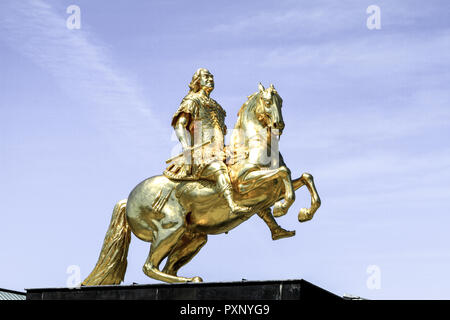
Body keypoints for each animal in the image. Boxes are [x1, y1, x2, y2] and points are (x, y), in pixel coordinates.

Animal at [81, 83, 320, 284]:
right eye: (268, 101)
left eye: (282, 101)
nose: (279, 124)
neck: (251, 148)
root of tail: (128, 199)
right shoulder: (245, 183)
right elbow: (283, 173)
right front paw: (283, 208)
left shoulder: (271, 190)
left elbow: (304, 177)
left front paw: (303, 214)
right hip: (170, 228)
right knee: (149, 266)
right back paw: (189, 280)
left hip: (193, 237)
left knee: (166, 267)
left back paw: (188, 279)